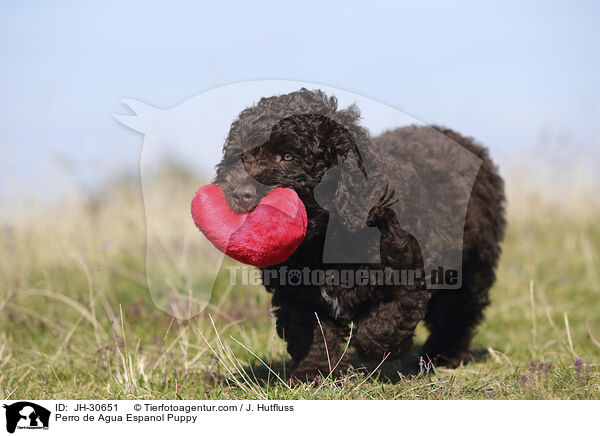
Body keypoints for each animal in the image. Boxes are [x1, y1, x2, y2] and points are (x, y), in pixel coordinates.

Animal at [213, 88, 504, 382]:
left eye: (288, 156)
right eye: (239, 155)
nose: (240, 193)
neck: (322, 240)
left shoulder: (408, 272)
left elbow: (385, 323)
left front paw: (374, 349)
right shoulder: (297, 291)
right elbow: (311, 333)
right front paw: (316, 372)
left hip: (473, 263)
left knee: (457, 312)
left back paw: (444, 355)